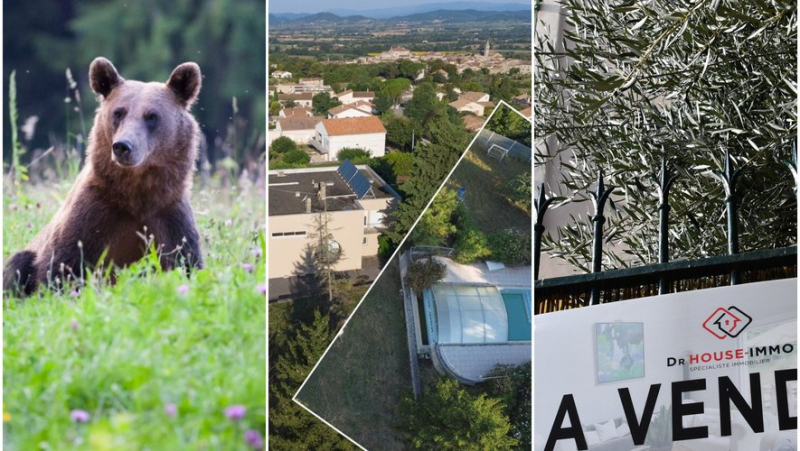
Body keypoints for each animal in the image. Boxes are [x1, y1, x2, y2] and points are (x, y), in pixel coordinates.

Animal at [4, 56, 205, 296]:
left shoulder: (168, 217)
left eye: (152, 116)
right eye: (118, 112)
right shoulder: (92, 215)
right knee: (18, 263)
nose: (122, 146)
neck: (136, 195)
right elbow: (60, 266)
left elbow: (186, 264)